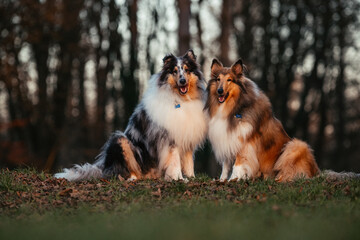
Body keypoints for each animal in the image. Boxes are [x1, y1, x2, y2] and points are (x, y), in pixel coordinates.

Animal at [56, 51, 208, 182]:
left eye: (187, 70)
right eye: (175, 71)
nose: (182, 81)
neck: (181, 100)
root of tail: (104, 167)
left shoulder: (187, 137)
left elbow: (189, 162)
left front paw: (191, 177)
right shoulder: (170, 138)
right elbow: (175, 161)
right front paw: (178, 179)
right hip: (120, 141)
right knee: (122, 172)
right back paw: (132, 178)